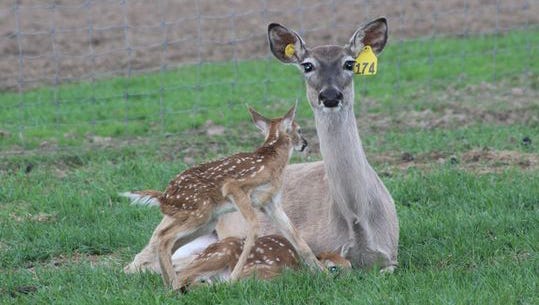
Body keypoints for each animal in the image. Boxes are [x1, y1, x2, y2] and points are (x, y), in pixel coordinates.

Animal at [124, 16, 398, 274]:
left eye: (349, 63)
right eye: (307, 65)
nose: (330, 96)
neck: (357, 221)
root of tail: (164, 195)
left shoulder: (392, 255)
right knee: (138, 262)